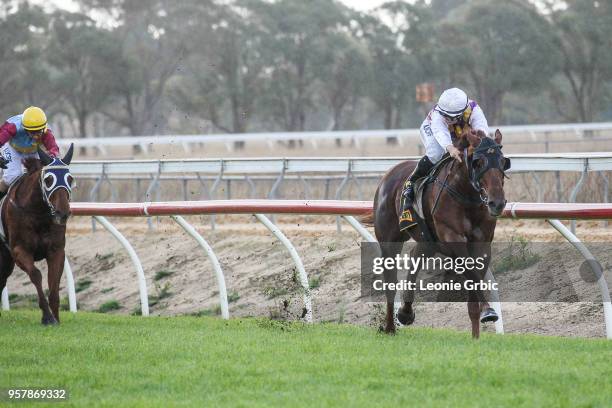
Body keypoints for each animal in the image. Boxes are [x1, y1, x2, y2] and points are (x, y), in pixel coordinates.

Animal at [0, 143, 74, 326]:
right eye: (48, 180)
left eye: (70, 179)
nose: (62, 213)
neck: (37, 213)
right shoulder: (19, 250)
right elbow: (36, 274)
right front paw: (47, 317)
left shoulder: (56, 250)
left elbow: (54, 282)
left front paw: (56, 316)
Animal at [366, 129, 510, 336]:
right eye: (478, 162)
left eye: (503, 161)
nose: (497, 202)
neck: (466, 195)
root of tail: (389, 174)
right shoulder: (452, 238)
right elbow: (472, 273)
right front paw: (488, 310)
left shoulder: (482, 243)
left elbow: (475, 282)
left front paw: (479, 327)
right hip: (389, 241)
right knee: (390, 282)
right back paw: (390, 327)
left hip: (427, 240)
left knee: (415, 257)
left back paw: (405, 312)